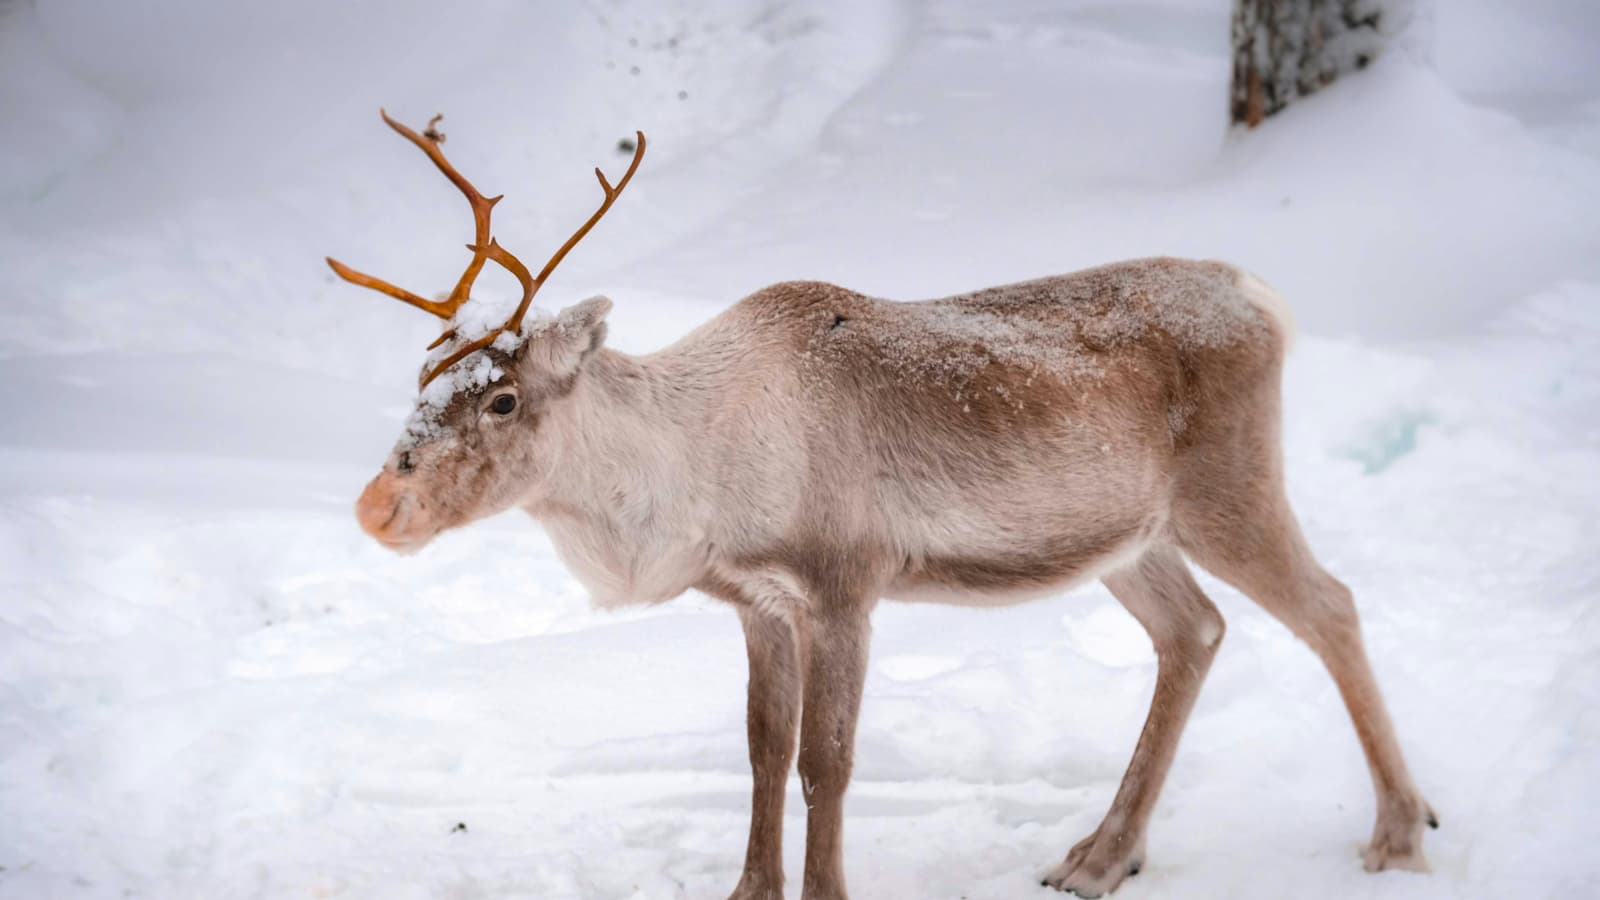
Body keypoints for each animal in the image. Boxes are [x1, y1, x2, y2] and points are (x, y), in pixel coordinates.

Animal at [330, 111, 1436, 899]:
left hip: (1228, 487)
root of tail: (1262, 298)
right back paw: (1098, 857)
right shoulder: (757, 601)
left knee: (1330, 605)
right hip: (1130, 540)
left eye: (504, 398)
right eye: (422, 377)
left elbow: (826, 762)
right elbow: (762, 752)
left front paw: (824, 891)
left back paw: (1400, 832)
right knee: (1195, 630)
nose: (377, 506)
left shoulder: (843, 583)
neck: (691, 474)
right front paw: (748, 891)